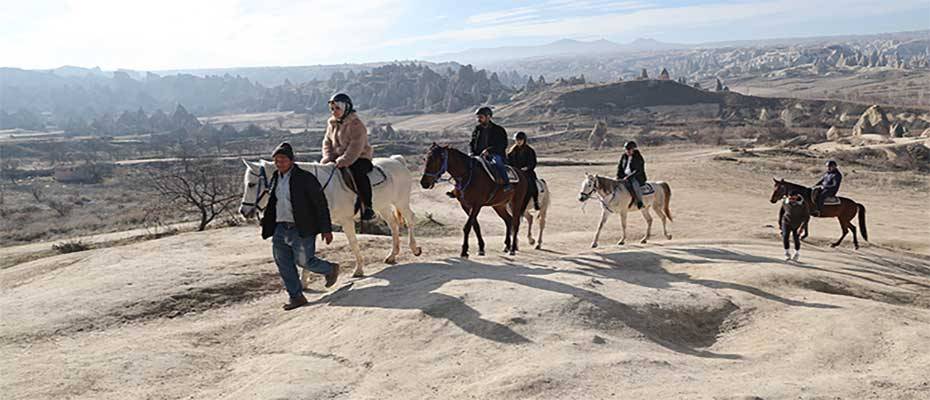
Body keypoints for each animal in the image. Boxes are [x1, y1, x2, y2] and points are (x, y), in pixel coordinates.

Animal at [237, 155, 422, 280]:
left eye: (251, 184)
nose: (243, 211)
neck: (319, 187)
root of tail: (396, 160)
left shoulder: (346, 221)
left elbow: (353, 243)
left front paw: (358, 270)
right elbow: (307, 254)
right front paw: (304, 281)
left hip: (401, 201)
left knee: (410, 219)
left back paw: (414, 248)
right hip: (382, 206)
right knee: (393, 225)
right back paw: (392, 255)